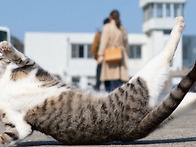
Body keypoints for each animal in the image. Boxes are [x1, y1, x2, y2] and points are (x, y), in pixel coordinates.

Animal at [0, 16, 195, 146]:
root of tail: (133, 127)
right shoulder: (20, 125)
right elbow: (11, 134)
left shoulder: (33, 69)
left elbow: (20, 57)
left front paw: (7, 48)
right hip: (148, 94)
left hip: (139, 81)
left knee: (165, 55)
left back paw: (178, 24)